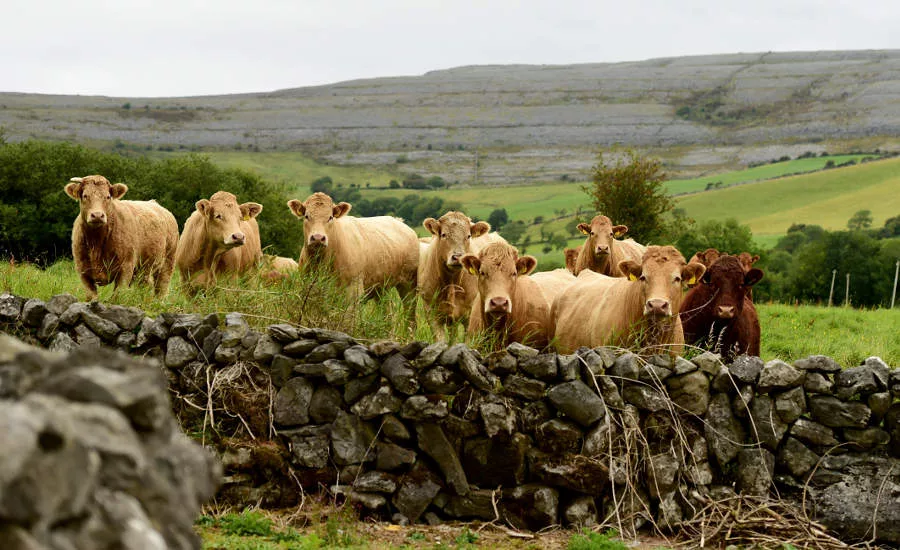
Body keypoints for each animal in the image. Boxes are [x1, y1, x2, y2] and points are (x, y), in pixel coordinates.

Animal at [287, 192, 419, 295]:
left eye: (330, 217)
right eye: (306, 216)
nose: (318, 238)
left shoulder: (353, 289)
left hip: (409, 285)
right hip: (381, 287)